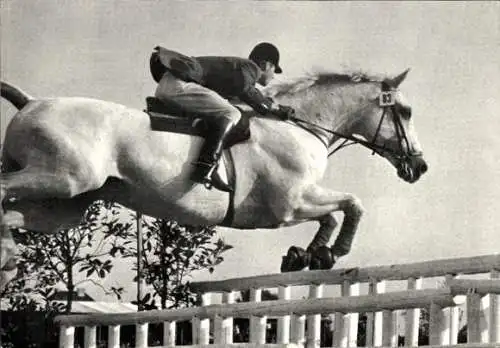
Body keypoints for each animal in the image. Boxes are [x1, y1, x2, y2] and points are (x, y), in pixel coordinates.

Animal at [1, 69, 428, 286]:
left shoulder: (296, 202)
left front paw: (307, 255)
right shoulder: (289, 204)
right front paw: (331, 252)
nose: (420, 168)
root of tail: (30, 102)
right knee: (4, 196)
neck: (300, 125)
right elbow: (351, 205)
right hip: (62, 178)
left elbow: (334, 214)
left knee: (10, 216)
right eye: (405, 112)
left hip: (64, 206)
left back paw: (7, 262)